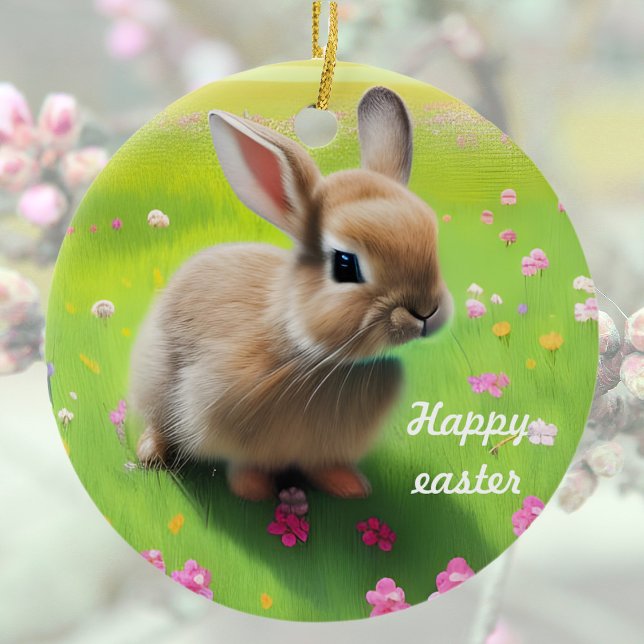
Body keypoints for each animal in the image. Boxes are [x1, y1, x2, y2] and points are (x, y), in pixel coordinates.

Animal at [129, 86, 453, 501]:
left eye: (433, 237)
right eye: (345, 264)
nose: (425, 311)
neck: (315, 357)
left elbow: (323, 466)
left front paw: (349, 486)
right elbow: (246, 466)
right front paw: (254, 491)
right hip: (155, 381)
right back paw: (151, 453)